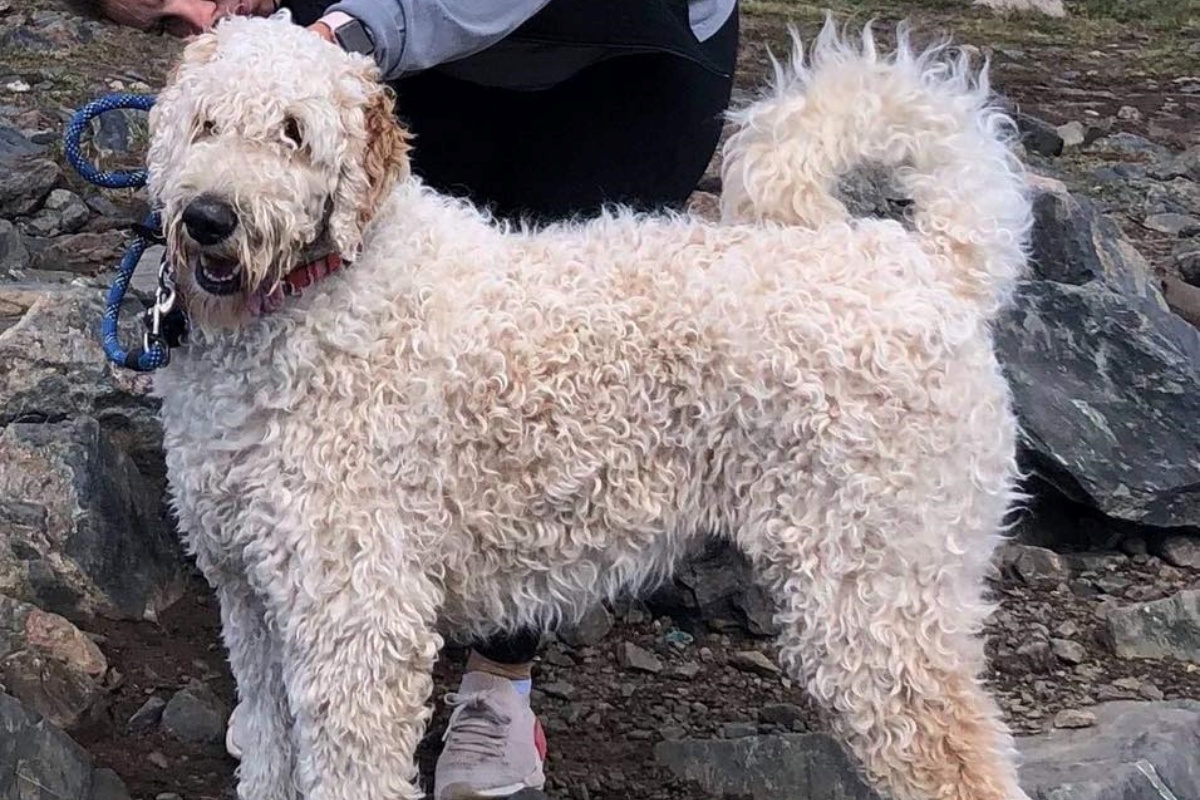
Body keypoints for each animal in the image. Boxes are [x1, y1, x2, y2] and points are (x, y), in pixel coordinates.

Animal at [147, 10, 1032, 800]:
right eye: (205, 123)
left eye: (294, 133)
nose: (209, 217)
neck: (318, 296)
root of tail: (930, 265)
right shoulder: (250, 598)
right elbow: (270, 747)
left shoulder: (357, 616)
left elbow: (349, 770)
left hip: (878, 601)